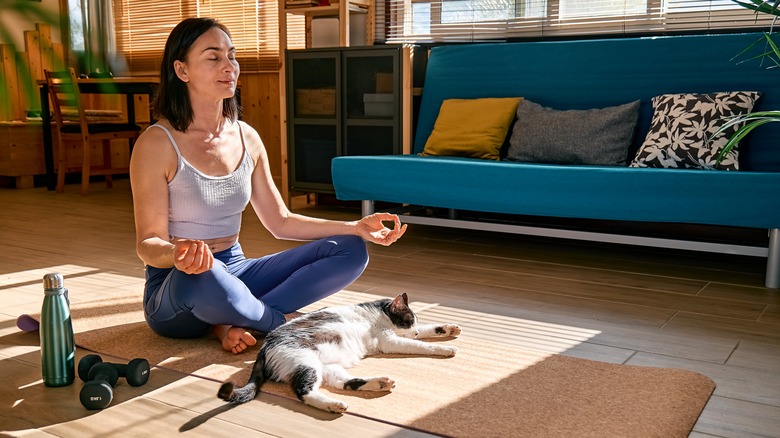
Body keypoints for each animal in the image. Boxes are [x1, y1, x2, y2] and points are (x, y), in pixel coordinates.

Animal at [216, 292, 460, 412]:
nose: (414, 330)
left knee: (345, 383)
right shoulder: (390, 341)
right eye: (408, 320)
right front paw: (445, 348)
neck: (378, 313)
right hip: (306, 363)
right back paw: (332, 405)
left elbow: (429, 329)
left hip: (328, 368)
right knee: (303, 391)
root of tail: (264, 346)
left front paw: (448, 328)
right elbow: (420, 345)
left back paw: (380, 383)